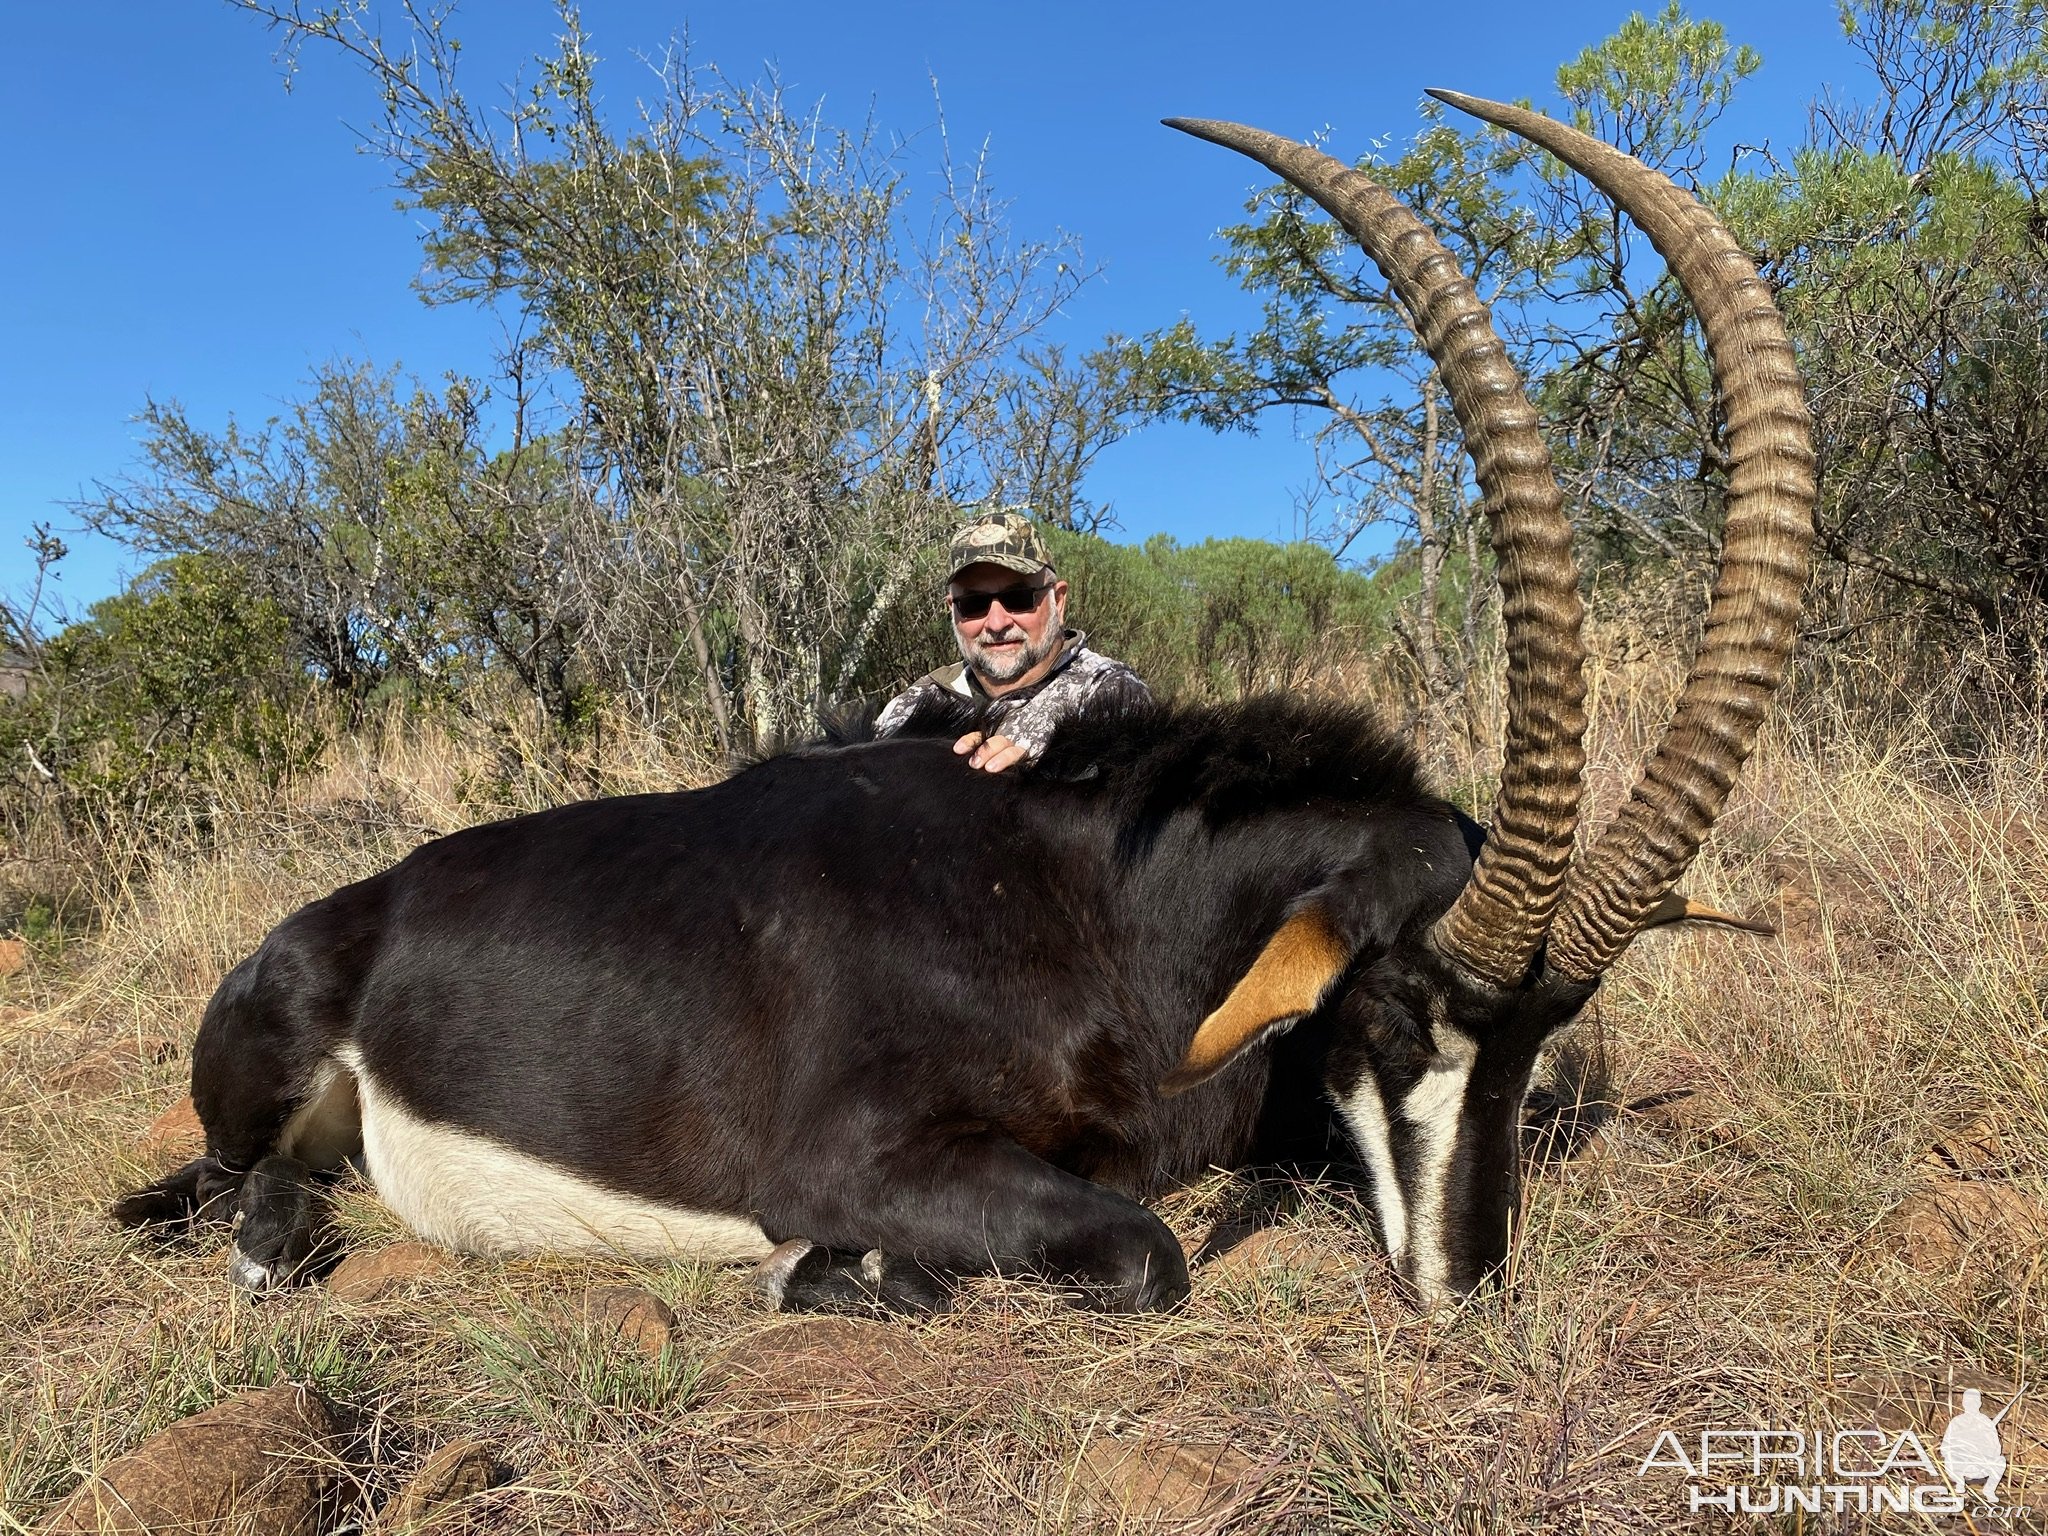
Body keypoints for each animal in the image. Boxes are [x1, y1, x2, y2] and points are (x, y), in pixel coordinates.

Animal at [112, 96, 1810, 1318]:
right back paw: (265, 1242)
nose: (1468, 1287)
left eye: (1541, 1034)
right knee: (222, 1184)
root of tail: (354, 907)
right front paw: (840, 1269)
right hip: (266, 1065)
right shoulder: (852, 1157)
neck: (1095, 911)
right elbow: (1144, 1252)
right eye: (1396, 1009)